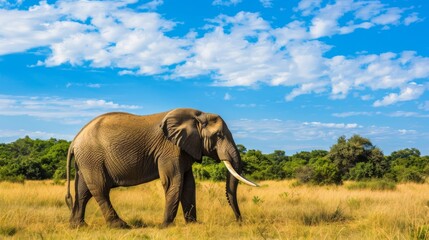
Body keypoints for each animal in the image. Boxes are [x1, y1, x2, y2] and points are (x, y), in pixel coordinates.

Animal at [64, 108, 258, 228]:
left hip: (87, 160)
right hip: (92, 158)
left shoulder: (183, 148)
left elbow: (189, 185)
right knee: (100, 188)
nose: (239, 221)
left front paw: (194, 225)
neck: (197, 115)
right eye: (219, 135)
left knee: (83, 191)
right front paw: (165, 226)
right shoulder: (169, 149)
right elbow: (174, 181)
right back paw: (121, 226)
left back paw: (78, 226)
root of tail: (75, 139)